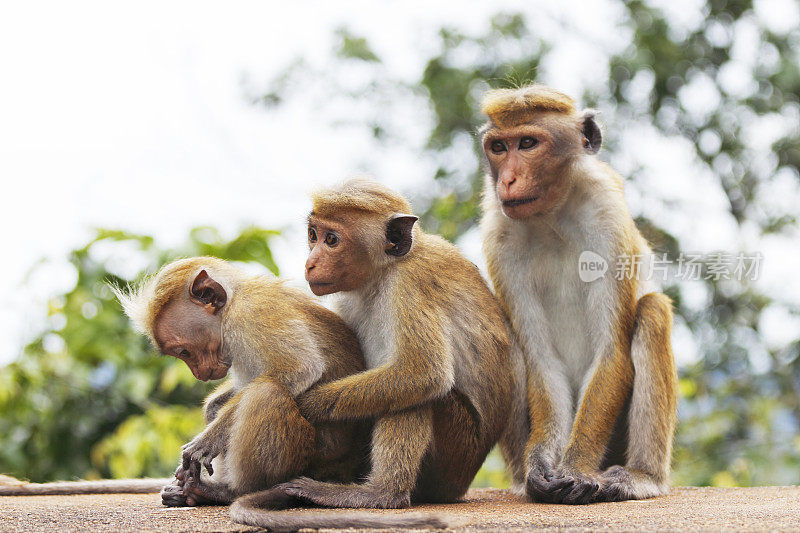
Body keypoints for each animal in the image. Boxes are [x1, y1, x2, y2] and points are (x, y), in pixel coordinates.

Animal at [482, 84, 676, 502]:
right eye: (498, 147)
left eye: (527, 143)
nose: (507, 181)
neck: (551, 217)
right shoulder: (498, 238)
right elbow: (542, 362)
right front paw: (540, 463)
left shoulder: (607, 215)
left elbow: (611, 353)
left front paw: (575, 467)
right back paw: (524, 478)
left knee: (652, 310)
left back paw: (640, 476)